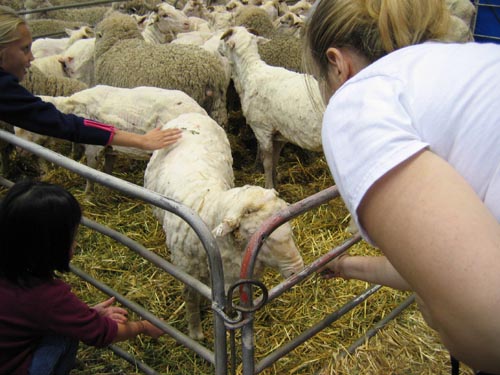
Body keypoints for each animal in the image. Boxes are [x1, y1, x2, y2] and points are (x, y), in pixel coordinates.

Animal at [143, 111, 302, 340]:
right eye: (259, 236)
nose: (298, 268)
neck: (208, 208)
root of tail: (190, 114)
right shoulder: (187, 272)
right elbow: (190, 298)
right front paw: (196, 334)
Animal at [220, 26, 324, 189]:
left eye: (225, 38)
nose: (218, 48)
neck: (250, 71)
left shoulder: (262, 129)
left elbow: (267, 162)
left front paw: (268, 186)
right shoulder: (279, 133)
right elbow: (275, 161)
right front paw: (275, 186)